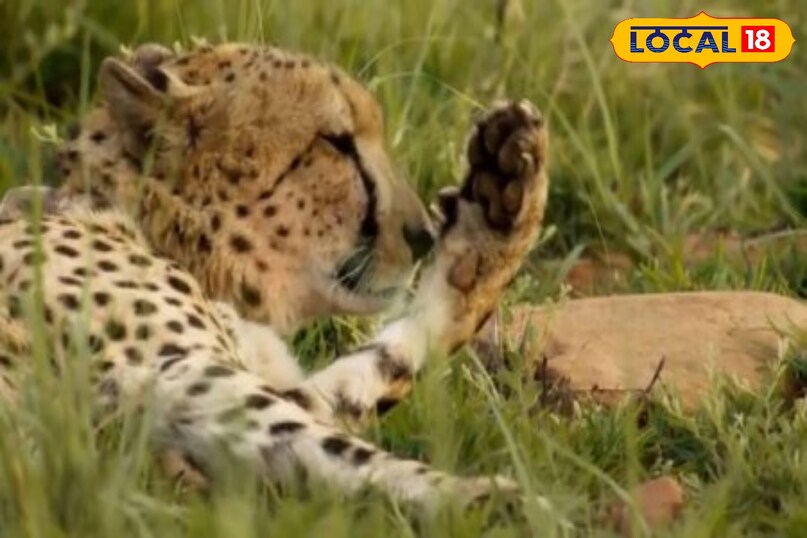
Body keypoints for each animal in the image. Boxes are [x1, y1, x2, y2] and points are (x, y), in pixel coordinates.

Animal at [0, 42, 548, 512]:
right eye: (336, 143)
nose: (421, 235)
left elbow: (382, 362)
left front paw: (496, 211)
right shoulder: (167, 377)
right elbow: (346, 431)